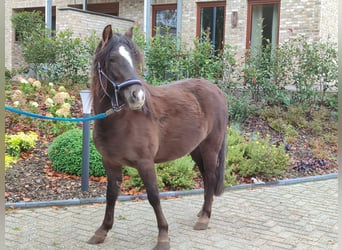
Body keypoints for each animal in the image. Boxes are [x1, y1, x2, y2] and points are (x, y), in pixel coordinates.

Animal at [88, 23, 228, 250]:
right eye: (112, 59)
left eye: (135, 57)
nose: (138, 96)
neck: (121, 120)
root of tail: (218, 90)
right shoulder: (110, 163)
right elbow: (110, 196)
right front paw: (102, 231)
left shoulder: (145, 162)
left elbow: (154, 196)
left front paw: (163, 236)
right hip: (196, 150)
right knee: (207, 178)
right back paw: (202, 213)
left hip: (210, 147)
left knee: (211, 176)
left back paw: (205, 218)